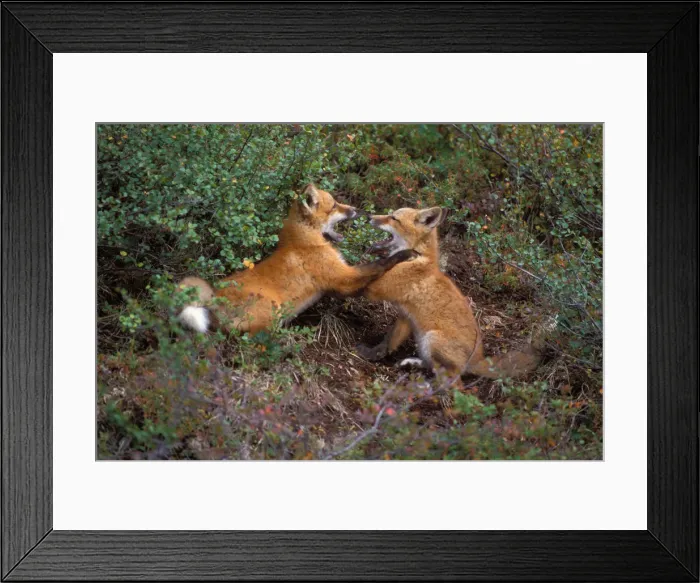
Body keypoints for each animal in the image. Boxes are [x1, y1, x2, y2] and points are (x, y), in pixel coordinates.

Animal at [177, 184, 415, 335]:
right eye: (334, 206)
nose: (358, 210)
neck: (306, 241)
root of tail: (214, 295)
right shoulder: (343, 278)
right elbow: (380, 265)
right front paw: (405, 255)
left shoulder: (339, 284)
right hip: (273, 308)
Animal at [356, 206, 539, 383]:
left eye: (393, 218)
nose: (369, 217)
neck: (419, 258)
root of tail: (477, 361)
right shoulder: (405, 317)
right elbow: (388, 342)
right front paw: (372, 354)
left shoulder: (376, 289)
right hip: (424, 343)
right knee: (435, 368)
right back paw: (413, 365)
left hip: (432, 340)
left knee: (453, 383)